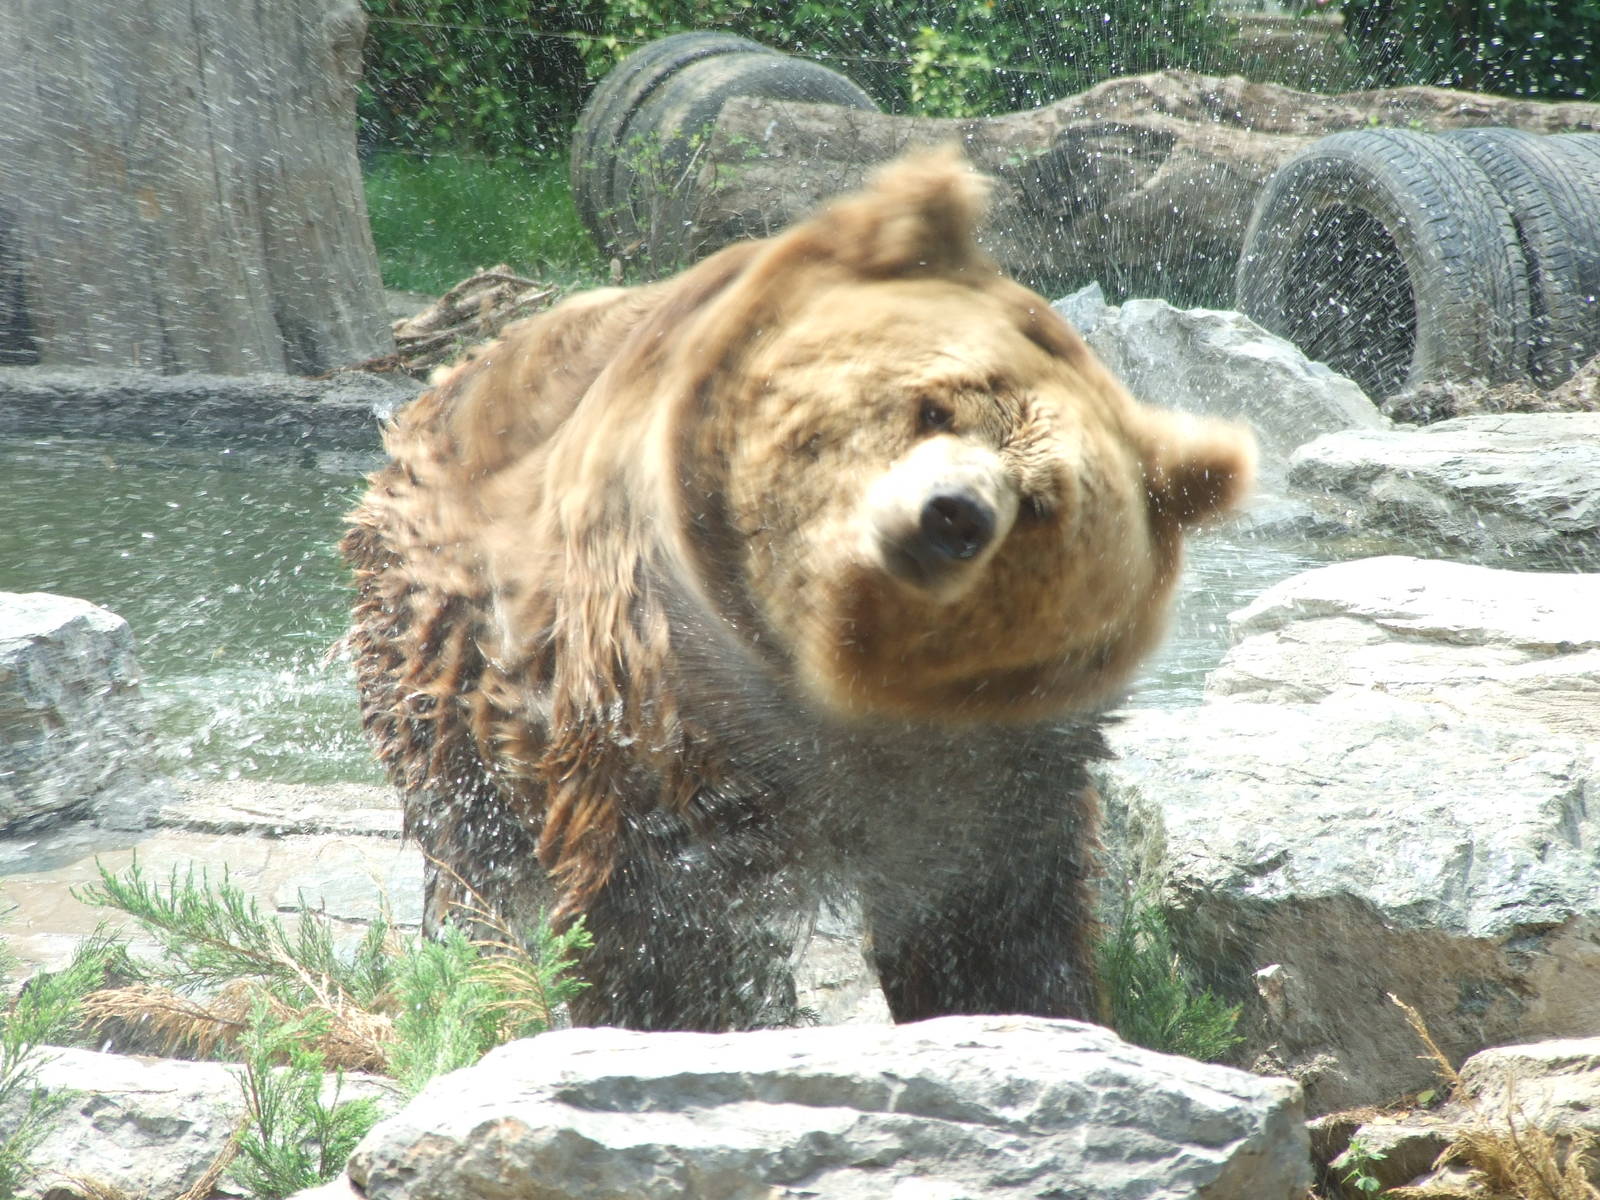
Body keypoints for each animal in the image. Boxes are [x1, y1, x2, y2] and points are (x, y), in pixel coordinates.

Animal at [342, 148, 1255, 1032]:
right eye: (934, 408)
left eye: (1040, 501)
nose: (951, 515)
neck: (839, 685)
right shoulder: (668, 683)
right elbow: (663, 894)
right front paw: (688, 1015)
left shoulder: (995, 758)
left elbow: (993, 912)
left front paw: (1028, 1009)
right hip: (440, 633)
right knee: (471, 837)